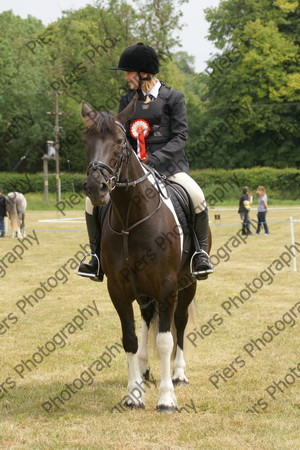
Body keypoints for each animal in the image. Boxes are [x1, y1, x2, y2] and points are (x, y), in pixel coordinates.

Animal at [81, 100, 210, 414]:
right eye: (86, 142)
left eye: (119, 142)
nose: (95, 188)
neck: (131, 217)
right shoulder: (118, 288)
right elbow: (129, 338)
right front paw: (134, 395)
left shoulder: (167, 287)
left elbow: (164, 341)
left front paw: (166, 399)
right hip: (142, 290)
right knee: (147, 319)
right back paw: (144, 368)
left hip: (187, 285)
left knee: (179, 323)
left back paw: (178, 374)